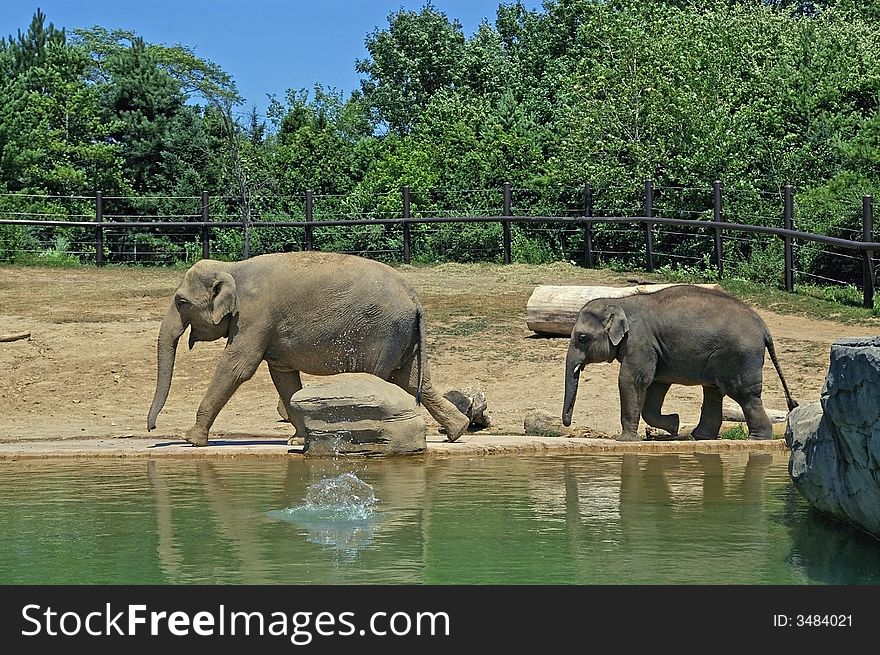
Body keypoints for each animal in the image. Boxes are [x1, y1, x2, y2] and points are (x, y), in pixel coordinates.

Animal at [148, 251, 470, 446]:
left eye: (181, 302)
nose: (151, 429)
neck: (231, 268)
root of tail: (415, 298)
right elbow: (282, 375)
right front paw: (297, 441)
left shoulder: (254, 316)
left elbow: (238, 366)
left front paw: (192, 439)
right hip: (403, 335)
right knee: (413, 379)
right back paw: (459, 430)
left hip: (383, 332)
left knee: (379, 378)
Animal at [564, 286, 796, 440]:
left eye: (582, 338)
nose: (567, 422)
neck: (621, 302)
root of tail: (763, 327)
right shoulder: (654, 349)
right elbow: (656, 384)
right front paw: (674, 424)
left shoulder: (639, 342)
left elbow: (633, 380)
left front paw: (626, 441)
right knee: (713, 392)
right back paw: (701, 437)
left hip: (739, 358)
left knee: (745, 395)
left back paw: (756, 439)